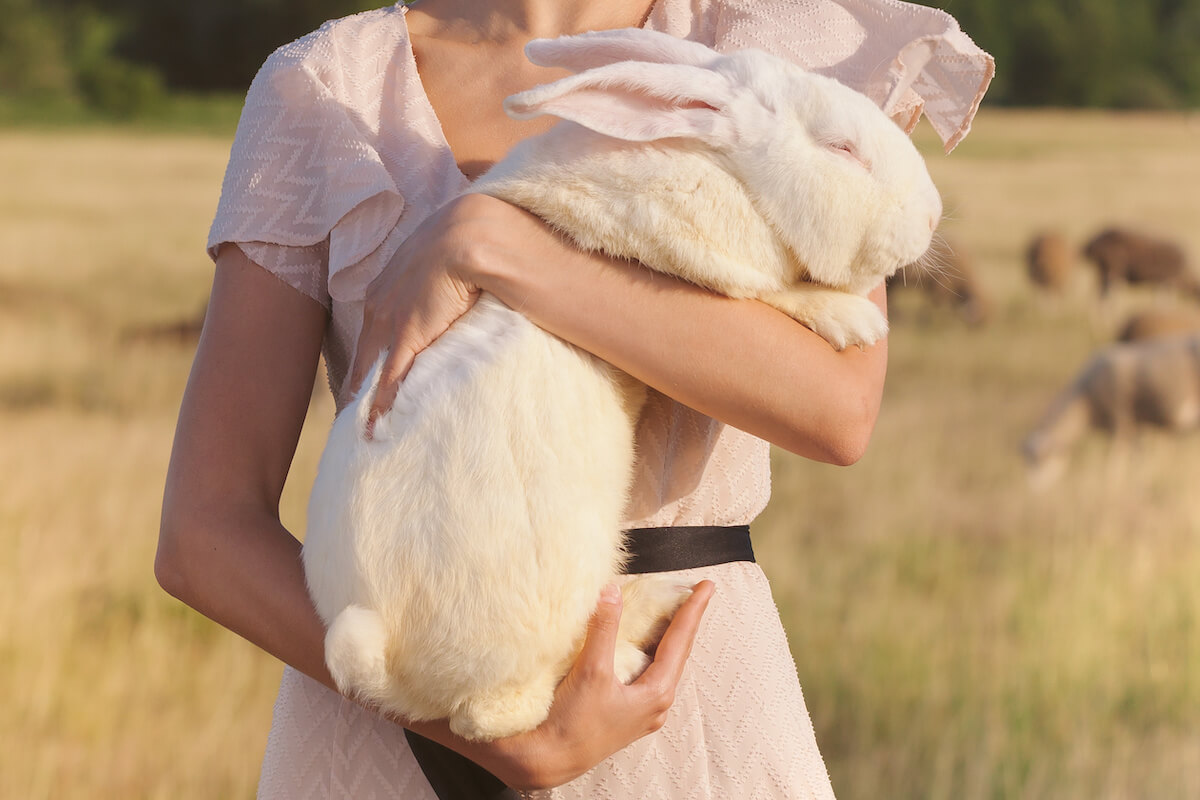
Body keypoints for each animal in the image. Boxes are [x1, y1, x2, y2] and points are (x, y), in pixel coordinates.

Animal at [304, 28, 940, 743]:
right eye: (842, 149)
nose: (931, 218)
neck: (726, 167)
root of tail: (380, 653)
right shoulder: (701, 260)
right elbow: (770, 294)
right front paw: (852, 318)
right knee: (497, 712)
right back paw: (639, 640)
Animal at [1022, 331, 1200, 482]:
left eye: (1039, 460)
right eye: (1029, 463)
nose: (1034, 490)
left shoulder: (1120, 421)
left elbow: (1114, 461)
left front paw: (1113, 483)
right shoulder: (1137, 425)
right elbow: (1139, 459)